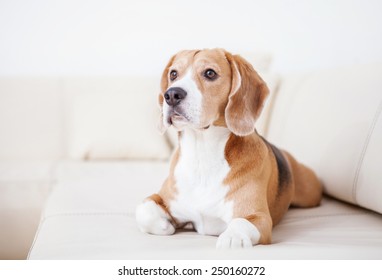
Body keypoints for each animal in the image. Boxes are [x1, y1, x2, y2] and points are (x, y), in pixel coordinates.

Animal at [136, 48, 320, 249]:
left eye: (210, 73)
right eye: (173, 74)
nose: (171, 95)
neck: (202, 154)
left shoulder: (258, 217)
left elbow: (240, 223)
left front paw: (233, 237)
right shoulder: (162, 197)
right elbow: (144, 209)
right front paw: (165, 224)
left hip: (311, 193)